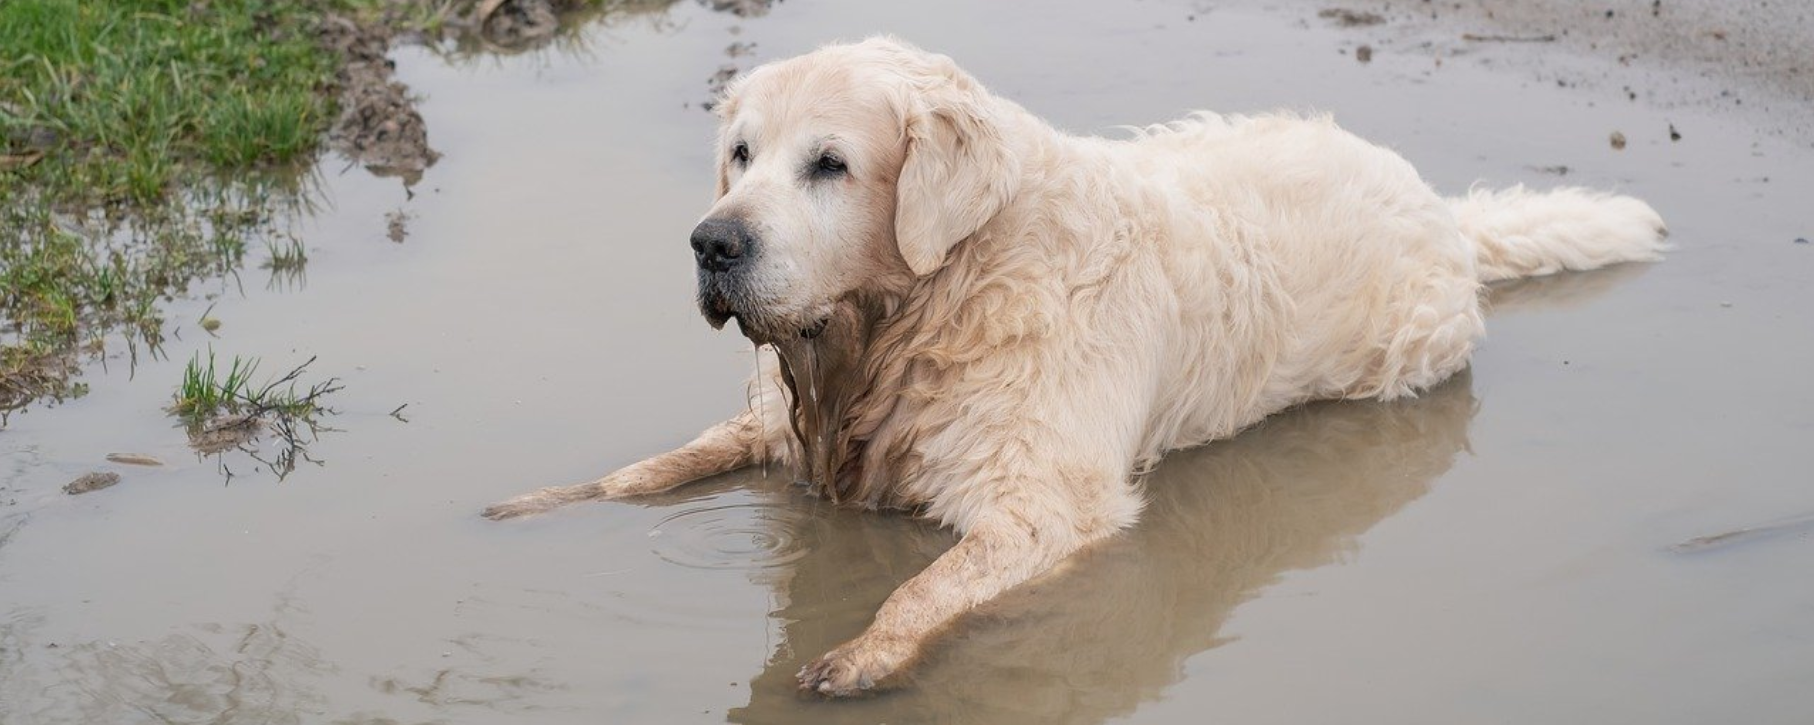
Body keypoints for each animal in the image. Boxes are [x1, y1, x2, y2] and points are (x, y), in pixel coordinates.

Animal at [486, 38, 1668, 696]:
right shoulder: (783, 422)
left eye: (829, 164)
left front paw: (863, 650)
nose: (711, 243)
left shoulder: (1042, 499)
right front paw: (542, 503)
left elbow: (927, 582)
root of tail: (1440, 207)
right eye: (739, 153)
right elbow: (653, 466)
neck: (923, 307)